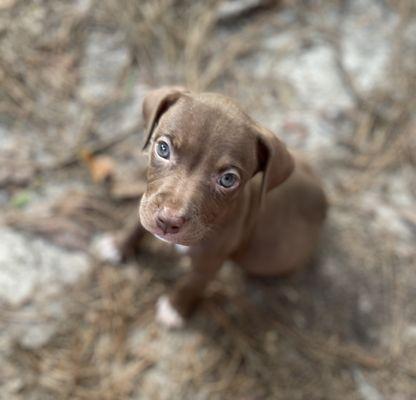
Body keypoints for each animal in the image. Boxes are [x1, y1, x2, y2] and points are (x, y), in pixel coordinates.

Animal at [107, 86, 328, 326]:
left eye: (228, 179)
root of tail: (323, 197)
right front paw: (118, 245)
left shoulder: (211, 259)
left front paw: (174, 309)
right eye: (163, 148)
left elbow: (193, 282)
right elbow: (137, 220)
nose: (168, 221)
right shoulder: (149, 198)